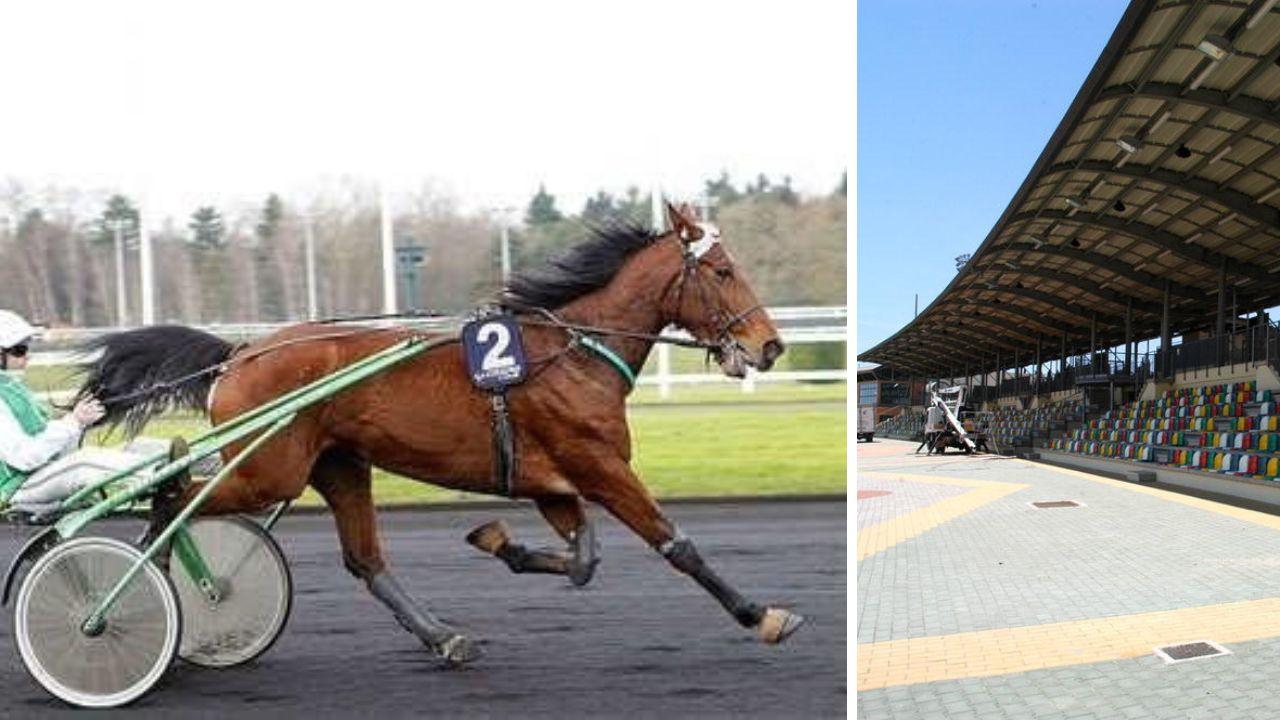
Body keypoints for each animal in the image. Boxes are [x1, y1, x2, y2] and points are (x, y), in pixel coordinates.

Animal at [76, 203, 804, 664]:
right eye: (722, 272)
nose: (769, 345)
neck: (574, 352)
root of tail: (238, 353)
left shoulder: (554, 482)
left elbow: (582, 561)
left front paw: (501, 541)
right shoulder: (600, 467)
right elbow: (676, 545)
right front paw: (761, 614)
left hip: (339, 465)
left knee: (366, 560)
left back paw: (443, 637)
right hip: (267, 470)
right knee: (172, 499)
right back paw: (140, 602)